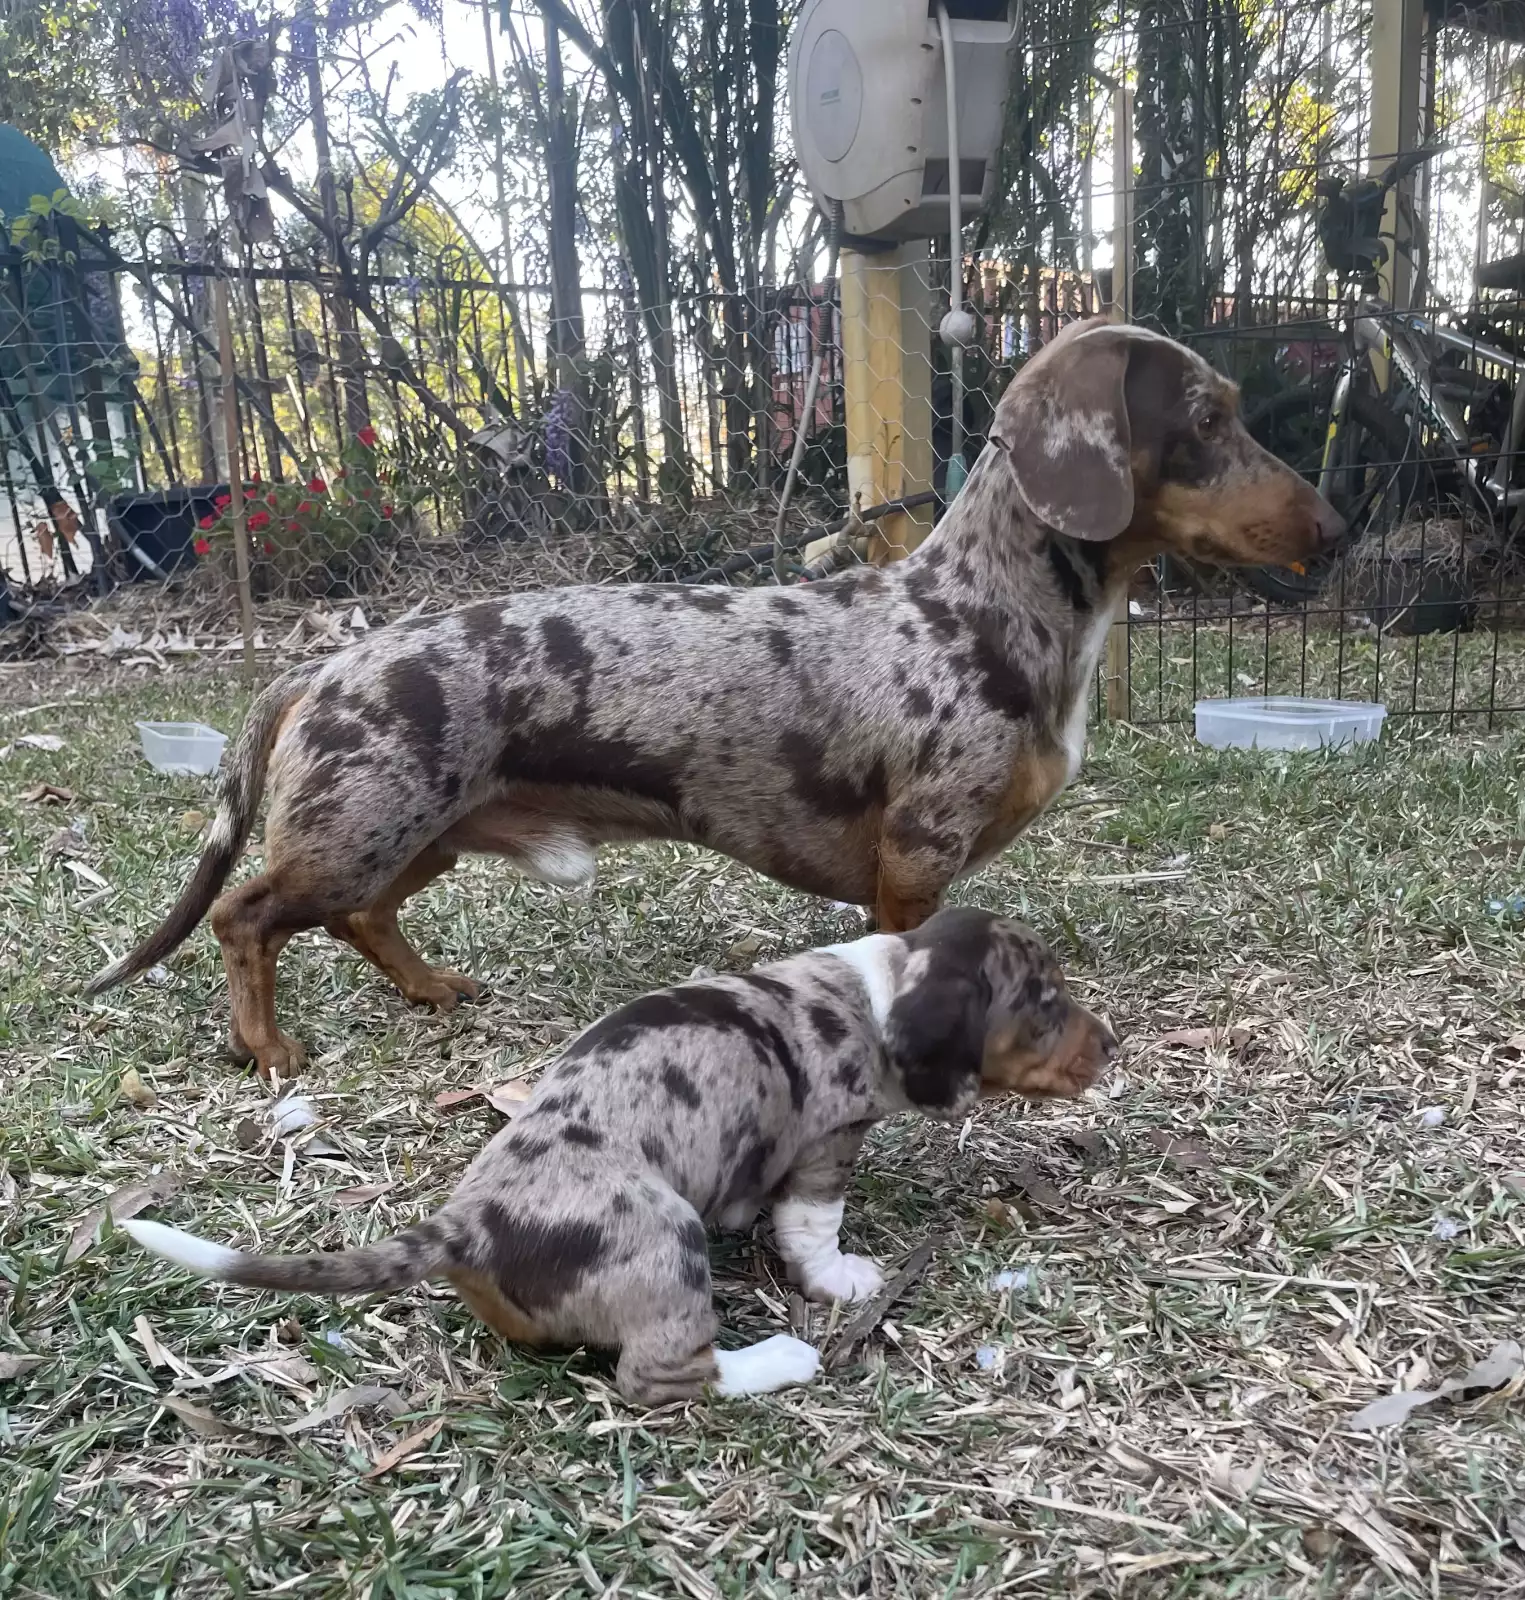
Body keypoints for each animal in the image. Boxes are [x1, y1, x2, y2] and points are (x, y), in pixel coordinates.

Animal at [87, 318, 1341, 1078]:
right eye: (1209, 417)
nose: (1335, 527)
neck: (973, 608)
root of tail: (328, 663)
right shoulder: (917, 858)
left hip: (416, 835)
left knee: (361, 918)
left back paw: (431, 986)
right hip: (360, 830)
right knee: (247, 915)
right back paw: (267, 1047)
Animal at [120, 908, 1117, 1406]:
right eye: (1042, 1002)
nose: (1108, 1046)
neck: (877, 990)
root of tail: (466, 1228)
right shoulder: (828, 1142)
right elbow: (814, 1224)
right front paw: (839, 1278)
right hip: (667, 1238)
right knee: (663, 1379)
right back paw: (777, 1362)